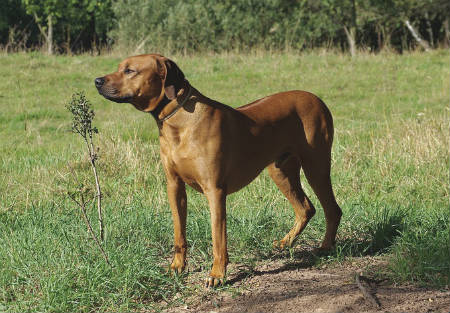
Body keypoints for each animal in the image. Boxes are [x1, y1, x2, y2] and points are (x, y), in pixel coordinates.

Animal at [95, 53, 342, 286]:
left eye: (130, 70)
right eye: (119, 67)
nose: (97, 81)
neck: (179, 121)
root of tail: (316, 98)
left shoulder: (215, 190)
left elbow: (218, 237)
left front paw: (217, 275)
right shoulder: (174, 186)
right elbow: (179, 233)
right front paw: (177, 266)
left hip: (316, 165)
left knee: (332, 209)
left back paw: (325, 247)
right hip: (280, 170)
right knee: (305, 208)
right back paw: (286, 242)